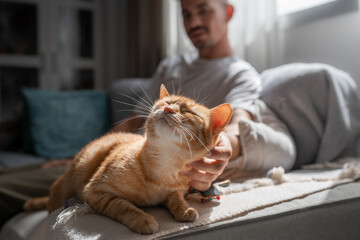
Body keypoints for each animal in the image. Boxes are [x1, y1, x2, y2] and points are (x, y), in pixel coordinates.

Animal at [23, 85, 232, 234]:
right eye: (166, 102)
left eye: (188, 112)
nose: (167, 109)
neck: (165, 166)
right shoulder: (95, 192)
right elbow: (123, 206)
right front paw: (143, 219)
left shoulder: (176, 190)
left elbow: (176, 198)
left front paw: (184, 208)